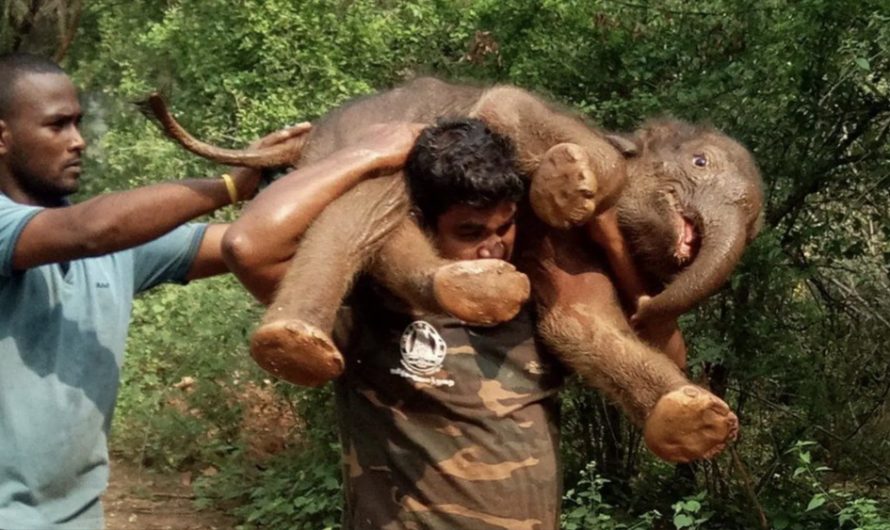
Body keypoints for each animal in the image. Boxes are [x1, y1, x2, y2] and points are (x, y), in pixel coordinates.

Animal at [149, 76, 760, 460]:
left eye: (755, 227)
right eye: (700, 162)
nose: (648, 304)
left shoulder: (575, 250)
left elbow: (579, 319)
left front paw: (693, 420)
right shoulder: (538, 120)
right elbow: (509, 106)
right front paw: (572, 183)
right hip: (355, 146)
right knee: (378, 194)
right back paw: (299, 342)